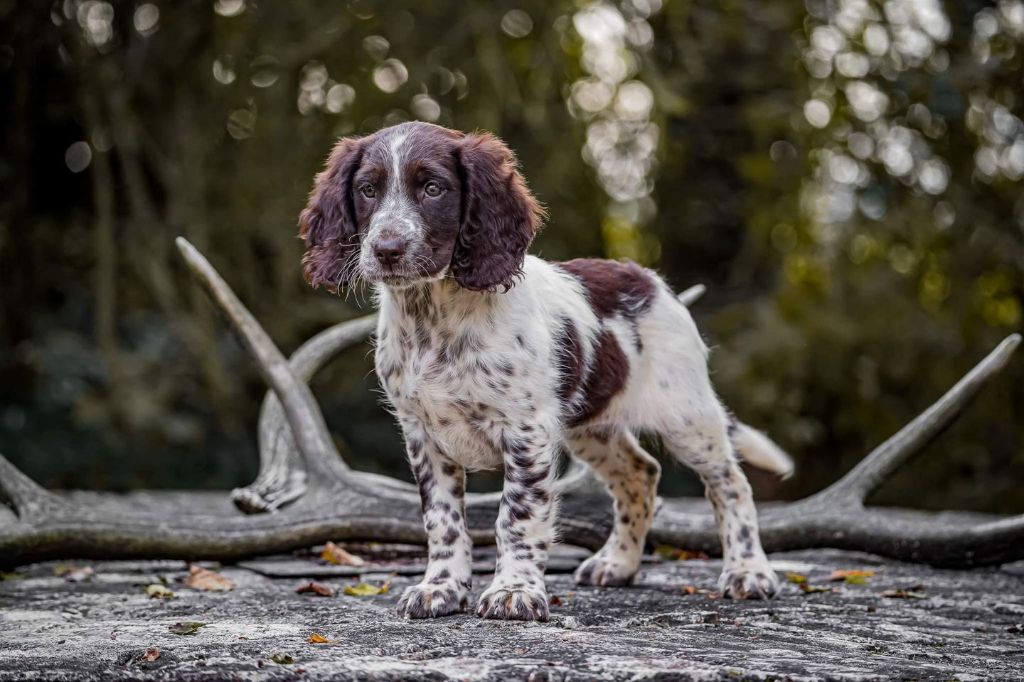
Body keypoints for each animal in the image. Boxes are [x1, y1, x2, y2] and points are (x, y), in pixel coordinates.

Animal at [299, 119, 786, 618]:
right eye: (368, 190)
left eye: (433, 188)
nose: (387, 249)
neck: (434, 317)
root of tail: (651, 282)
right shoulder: (423, 435)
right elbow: (442, 519)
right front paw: (440, 588)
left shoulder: (526, 432)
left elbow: (516, 516)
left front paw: (513, 592)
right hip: (592, 427)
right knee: (640, 474)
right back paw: (617, 563)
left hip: (686, 415)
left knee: (731, 484)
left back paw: (748, 572)